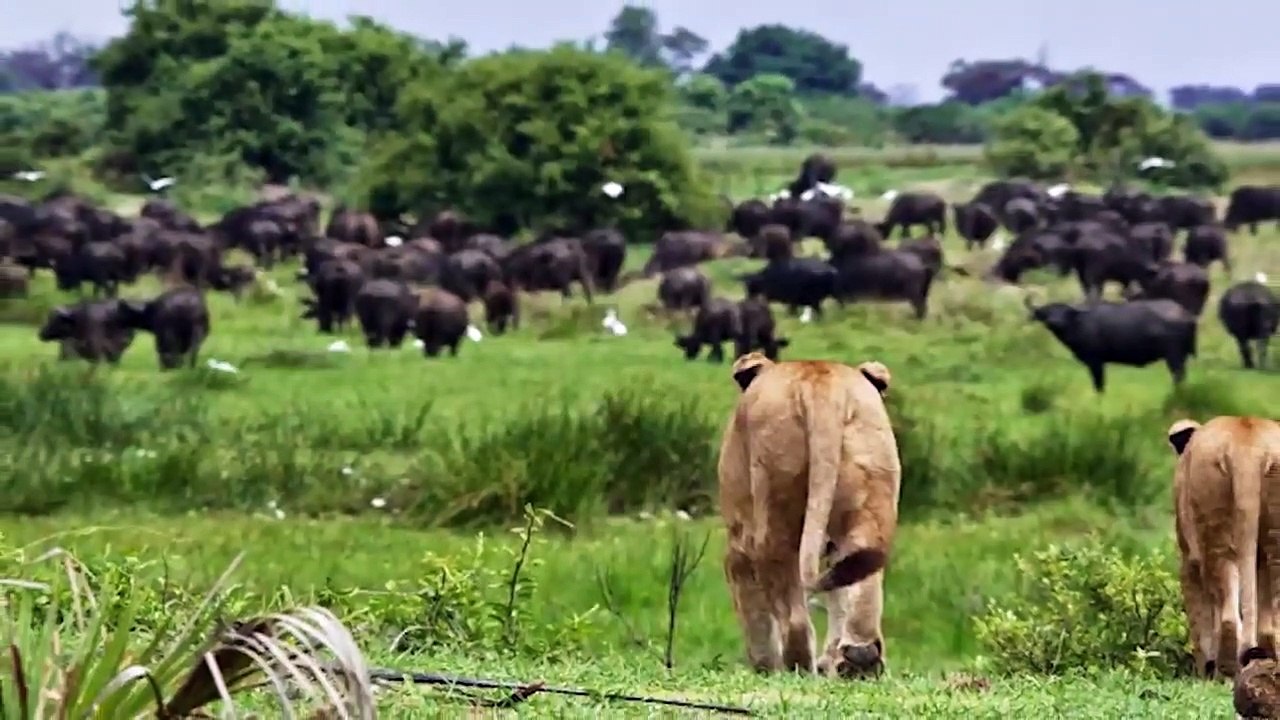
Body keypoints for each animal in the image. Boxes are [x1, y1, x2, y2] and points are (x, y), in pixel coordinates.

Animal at [719, 353, 901, 677]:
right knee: (862, 580)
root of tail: (823, 387)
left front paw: (763, 665)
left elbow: (752, 606)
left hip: (775, 508)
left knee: (794, 617)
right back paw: (858, 662)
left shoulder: (738, 539)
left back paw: (797, 667)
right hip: (870, 494)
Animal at [1167, 415, 1280, 679]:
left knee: (1229, 617)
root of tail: (1248, 449)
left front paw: (1203, 670)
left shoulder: (1189, 560)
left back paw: (1224, 672)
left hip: (1215, 537)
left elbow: (1200, 619)